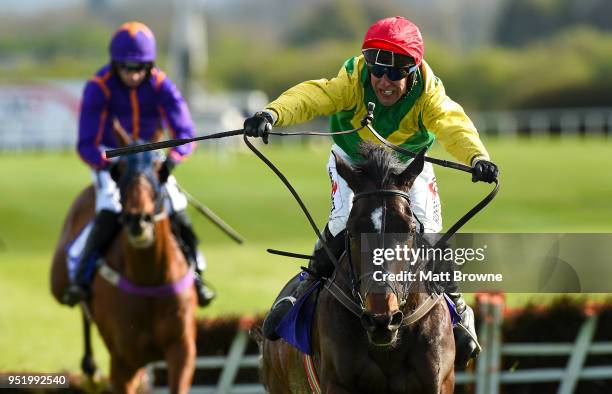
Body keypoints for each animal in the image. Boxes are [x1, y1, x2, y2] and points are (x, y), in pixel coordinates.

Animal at [52, 130, 197, 394]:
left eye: (161, 170)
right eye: (117, 171)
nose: (138, 219)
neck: (148, 278)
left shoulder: (182, 351)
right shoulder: (122, 363)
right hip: (58, 282)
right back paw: (91, 371)